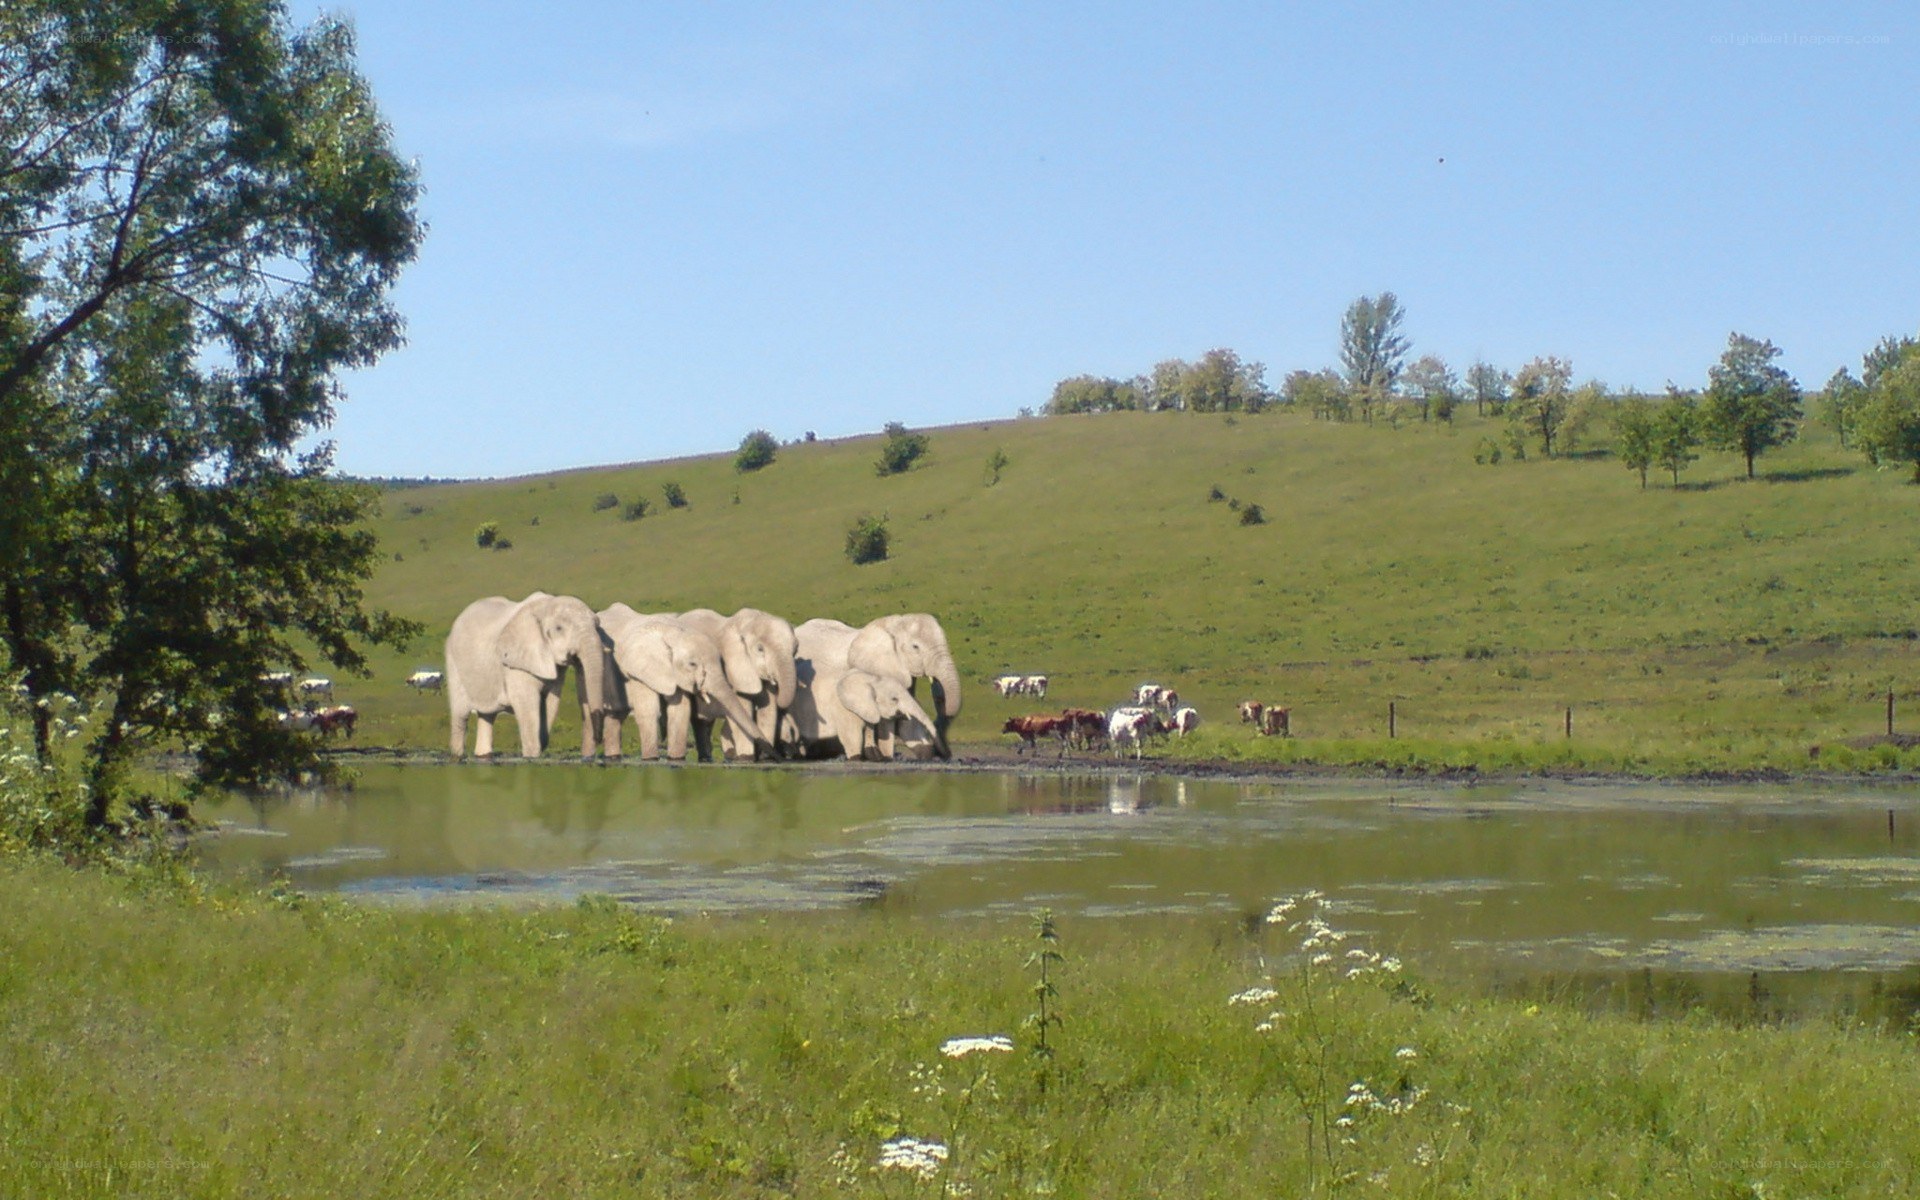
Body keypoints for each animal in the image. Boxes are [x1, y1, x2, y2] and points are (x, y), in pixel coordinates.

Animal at [445, 592, 609, 759]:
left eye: (597, 626)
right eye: (559, 628)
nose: (598, 738)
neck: (546, 605)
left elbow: (550, 702)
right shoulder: (516, 663)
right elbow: (528, 704)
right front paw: (531, 757)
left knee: (488, 715)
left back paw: (483, 756)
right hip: (454, 663)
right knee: (460, 716)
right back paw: (457, 756)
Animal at [589, 605, 773, 762]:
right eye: (692, 664)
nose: (773, 754)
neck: (673, 633)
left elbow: (680, 711)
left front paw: (676, 759)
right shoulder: (636, 669)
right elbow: (648, 710)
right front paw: (651, 759)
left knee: (615, 717)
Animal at [676, 607, 799, 760]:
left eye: (795, 649)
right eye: (760, 649)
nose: (783, 756)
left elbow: (768, 709)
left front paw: (765, 758)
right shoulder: (733, 668)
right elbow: (743, 705)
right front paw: (746, 758)